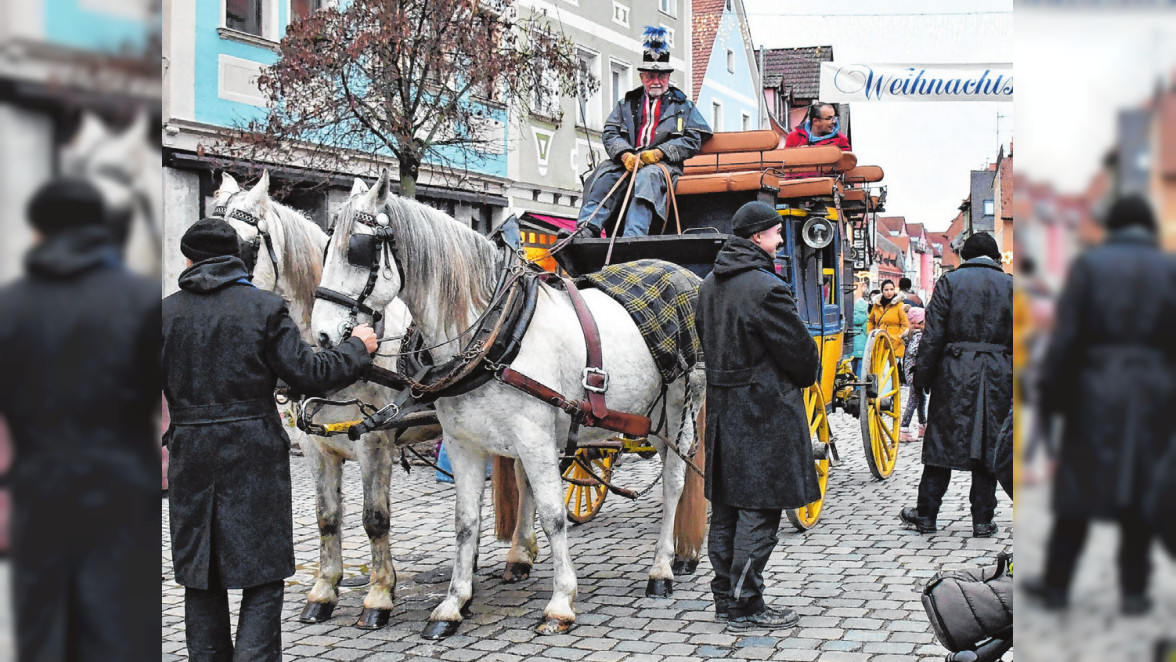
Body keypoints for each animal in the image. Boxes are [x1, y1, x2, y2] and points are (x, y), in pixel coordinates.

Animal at [308, 169, 700, 634]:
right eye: (325, 248)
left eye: (357, 250)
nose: (322, 336)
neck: (494, 332)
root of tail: (686, 273)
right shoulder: (462, 444)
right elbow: (465, 521)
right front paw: (453, 603)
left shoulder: (535, 439)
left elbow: (553, 515)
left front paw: (561, 602)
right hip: (647, 416)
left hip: (678, 409)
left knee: (675, 482)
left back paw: (664, 568)